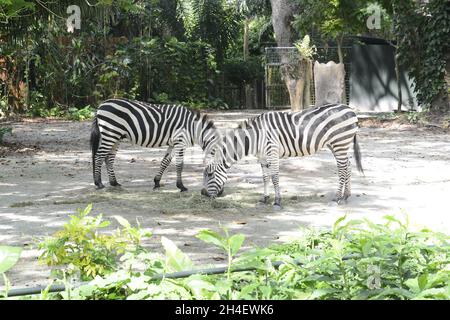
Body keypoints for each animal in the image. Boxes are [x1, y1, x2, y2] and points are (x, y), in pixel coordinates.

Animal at [89, 98, 219, 190]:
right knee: (99, 156)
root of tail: (100, 106)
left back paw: (114, 182)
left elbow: (165, 162)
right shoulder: (180, 142)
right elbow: (179, 165)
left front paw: (157, 182)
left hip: (116, 137)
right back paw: (99, 183)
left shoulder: (173, 143)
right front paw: (181, 186)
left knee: (108, 158)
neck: (192, 127)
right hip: (110, 133)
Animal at [202, 104, 364, 209]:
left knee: (342, 169)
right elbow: (265, 177)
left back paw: (336, 198)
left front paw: (277, 202)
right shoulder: (262, 157)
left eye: (210, 174)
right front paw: (264, 199)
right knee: (348, 166)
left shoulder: (272, 152)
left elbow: (274, 177)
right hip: (336, 144)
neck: (255, 137)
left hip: (339, 142)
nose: (203, 194)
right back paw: (346, 196)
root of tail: (350, 109)